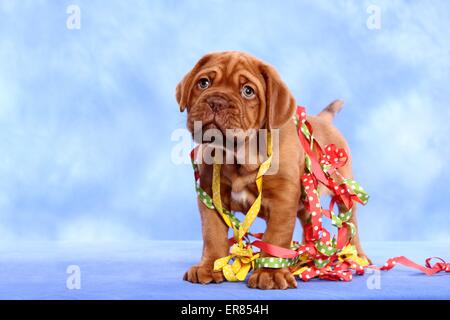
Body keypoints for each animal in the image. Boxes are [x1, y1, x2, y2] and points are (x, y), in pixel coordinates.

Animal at [174, 51, 368, 288]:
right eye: (203, 83)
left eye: (248, 91)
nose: (216, 101)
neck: (239, 156)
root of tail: (323, 120)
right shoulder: (211, 197)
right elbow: (213, 234)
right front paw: (210, 266)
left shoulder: (282, 200)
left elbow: (276, 237)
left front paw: (270, 273)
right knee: (309, 223)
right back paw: (306, 258)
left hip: (342, 190)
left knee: (350, 224)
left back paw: (356, 257)